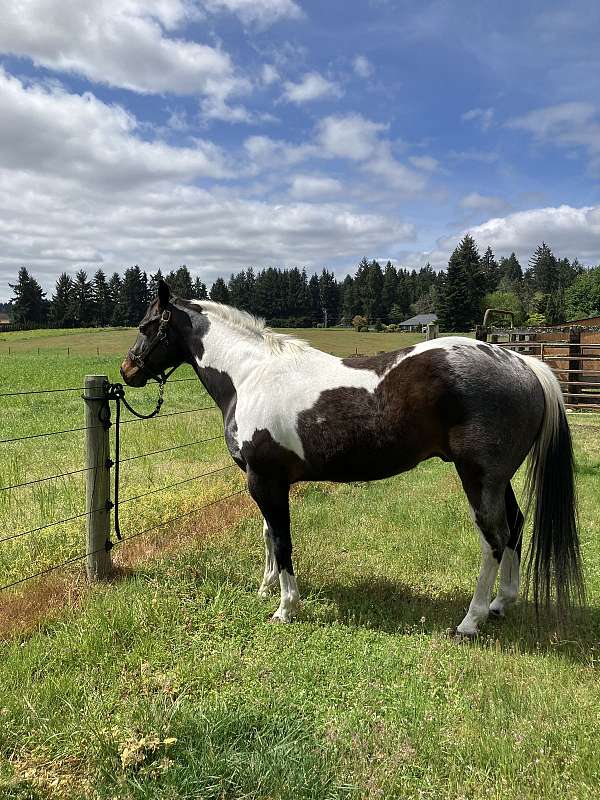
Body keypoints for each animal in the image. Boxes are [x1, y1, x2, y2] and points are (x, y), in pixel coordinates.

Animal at [120, 280, 584, 636]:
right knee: (515, 527)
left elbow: (282, 540)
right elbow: (268, 534)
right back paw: (500, 604)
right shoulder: (263, 480)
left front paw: (285, 608)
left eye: (144, 325)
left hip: (478, 476)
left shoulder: (266, 480)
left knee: (494, 537)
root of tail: (522, 362)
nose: (128, 370)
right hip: (498, 479)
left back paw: (470, 621)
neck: (251, 376)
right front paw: (266, 588)